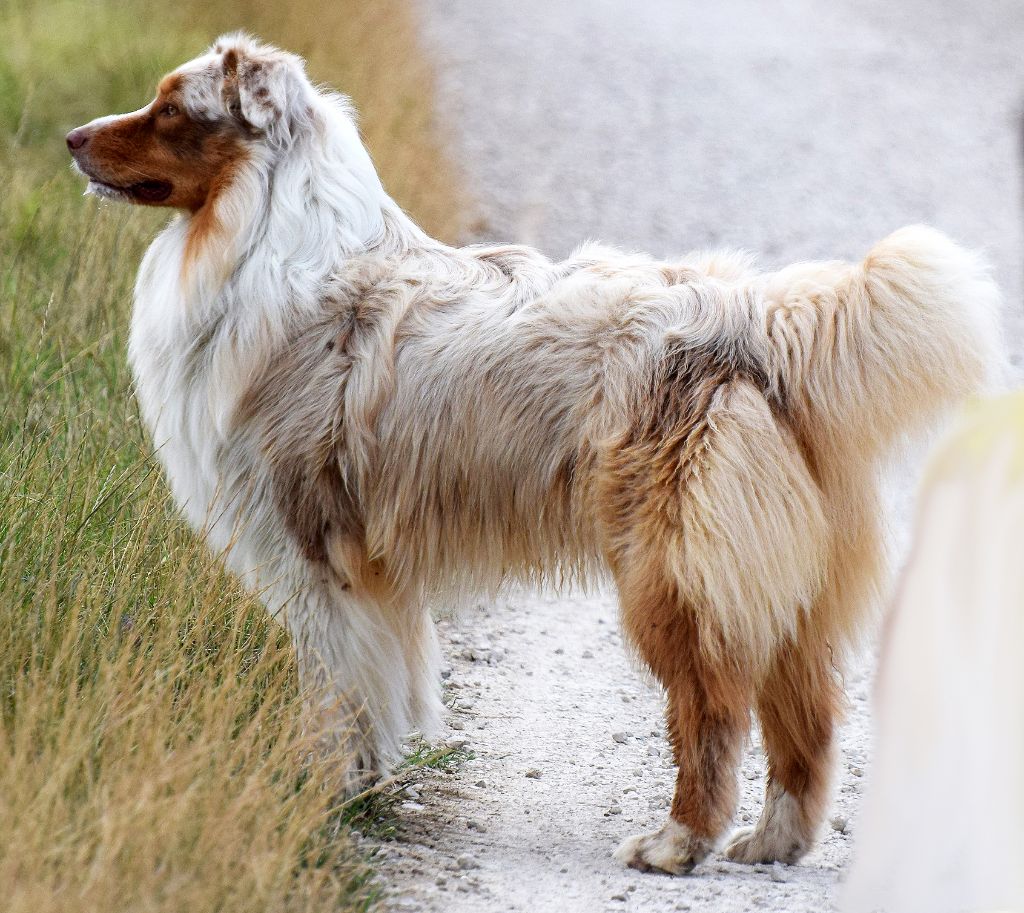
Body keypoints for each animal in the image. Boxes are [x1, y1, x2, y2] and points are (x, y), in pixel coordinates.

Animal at [68, 33, 1003, 876]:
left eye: (169, 109)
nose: (72, 137)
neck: (269, 234)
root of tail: (755, 316)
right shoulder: (366, 570)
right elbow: (375, 688)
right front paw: (360, 786)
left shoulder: (320, 550)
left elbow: (340, 691)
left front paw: (328, 795)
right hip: (781, 582)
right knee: (804, 715)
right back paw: (773, 842)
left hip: (669, 575)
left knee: (713, 709)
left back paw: (677, 842)